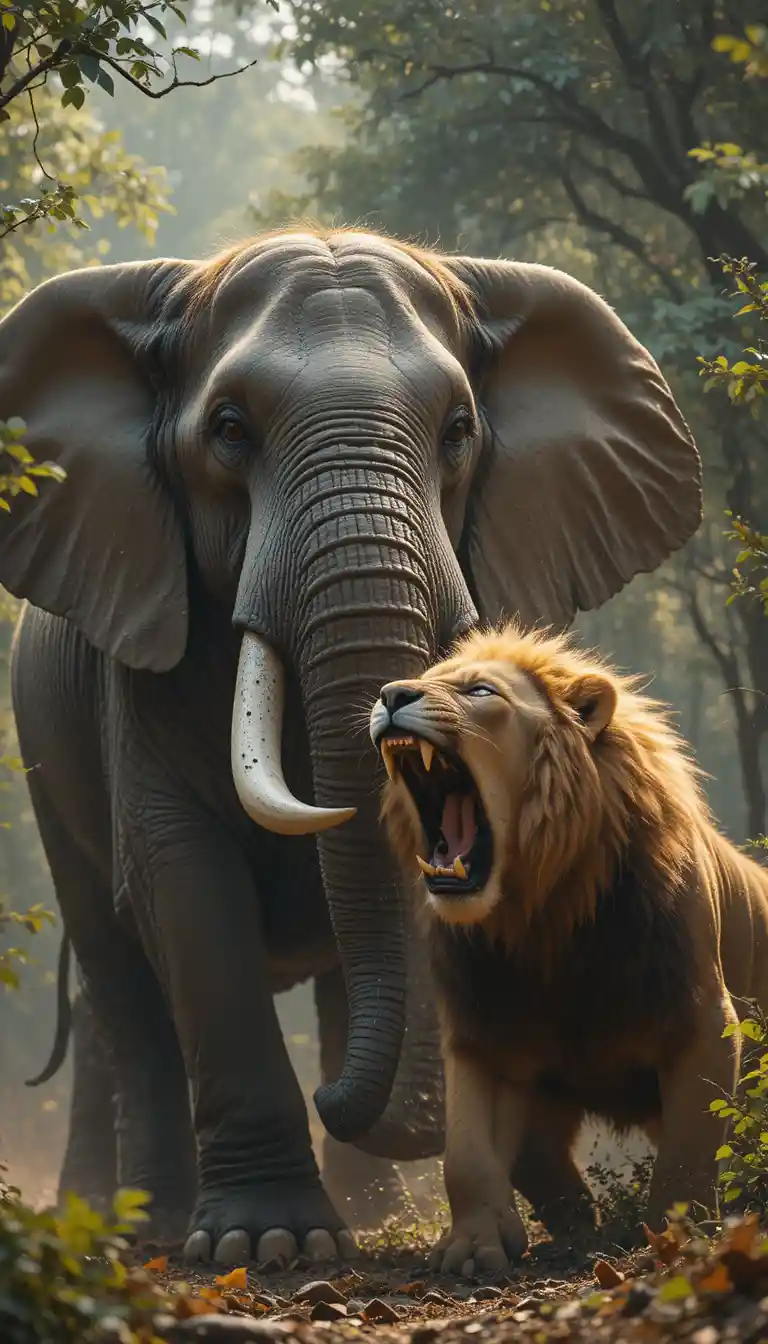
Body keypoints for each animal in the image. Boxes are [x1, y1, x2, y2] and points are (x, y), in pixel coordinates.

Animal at [0, 228, 702, 1264]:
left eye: (458, 431)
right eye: (230, 431)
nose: (334, 1098)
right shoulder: (139, 671)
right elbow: (183, 880)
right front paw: (268, 1246)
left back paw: (370, 1216)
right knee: (121, 983)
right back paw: (146, 1228)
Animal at [368, 622, 768, 1273]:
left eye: (480, 691)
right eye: (423, 682)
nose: (391, 694)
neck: (543, 919)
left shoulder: (703, 1018)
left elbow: (690, 1153)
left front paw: (675, 1239)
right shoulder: (484, 1034)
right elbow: (466, 1155)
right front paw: (477, 1246)